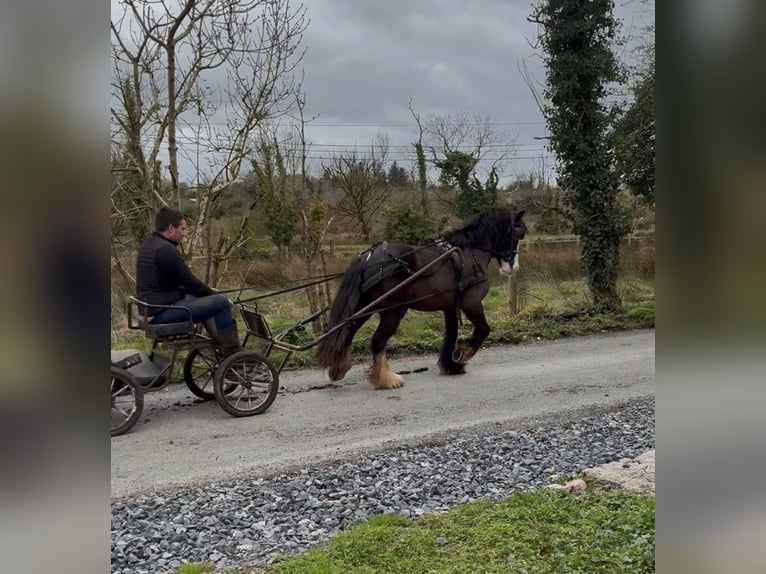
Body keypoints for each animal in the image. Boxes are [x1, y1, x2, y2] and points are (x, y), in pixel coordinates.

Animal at [316, 208, 527, 389]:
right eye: (517, 235)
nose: (513, 267)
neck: (469, 254)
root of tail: (367, 257)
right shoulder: (471, 303)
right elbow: (483, 330)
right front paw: (462, 354)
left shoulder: (451, 307)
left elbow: (451, 335)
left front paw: (451, 365)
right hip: (393, 311)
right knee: (377, 340)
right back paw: (386, 379)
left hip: (365, 307)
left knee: (347, 332)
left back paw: (340, 368)